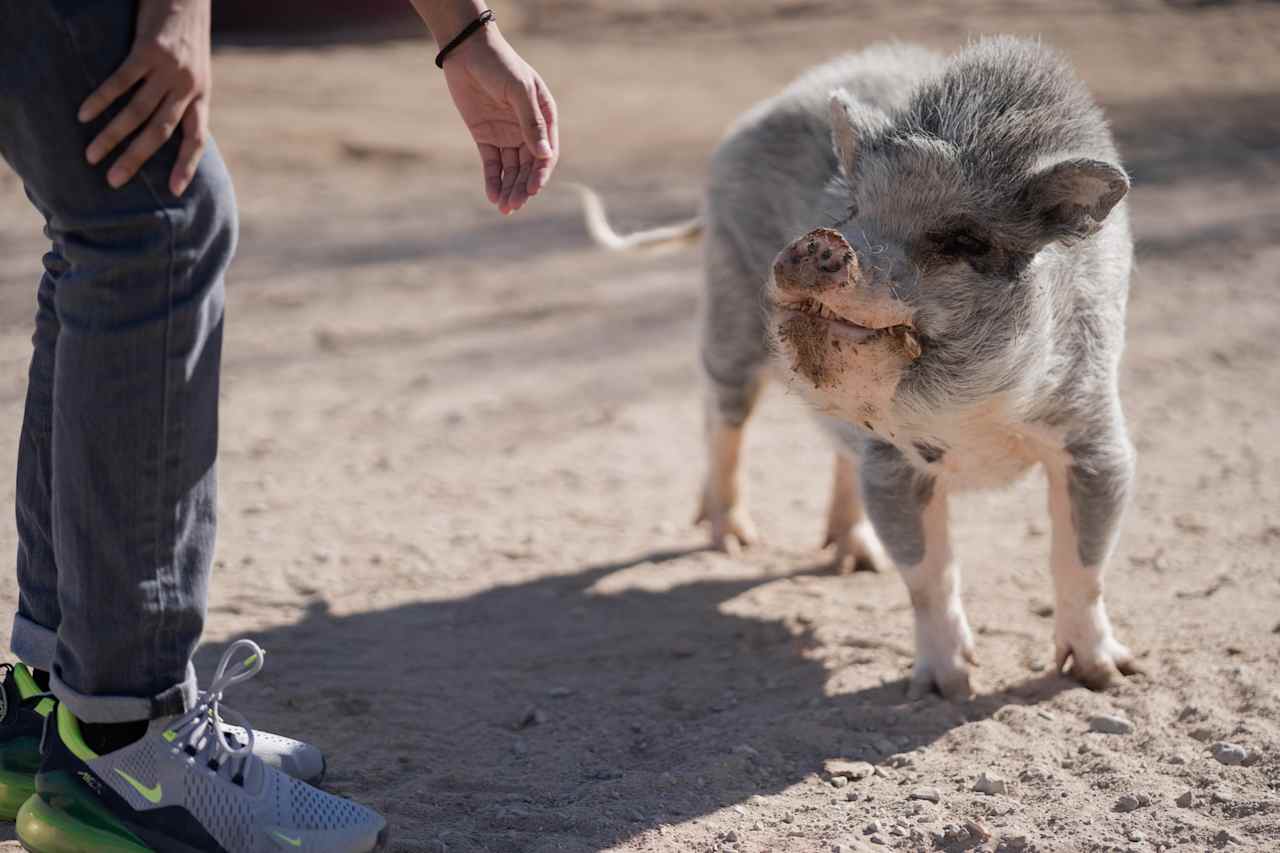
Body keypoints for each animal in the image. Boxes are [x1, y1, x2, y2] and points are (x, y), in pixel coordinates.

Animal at [576, 36, 1136, 696]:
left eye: (963, 241)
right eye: (853, 210)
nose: (821, 241)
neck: (974, 424)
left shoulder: (1094, 435)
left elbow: (1084, 561)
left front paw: (1109, 675)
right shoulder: (891, 464)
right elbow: (928, 574)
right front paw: (946, 688)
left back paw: (853, 561)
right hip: (725, 307)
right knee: (722, 415)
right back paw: (735, 541)